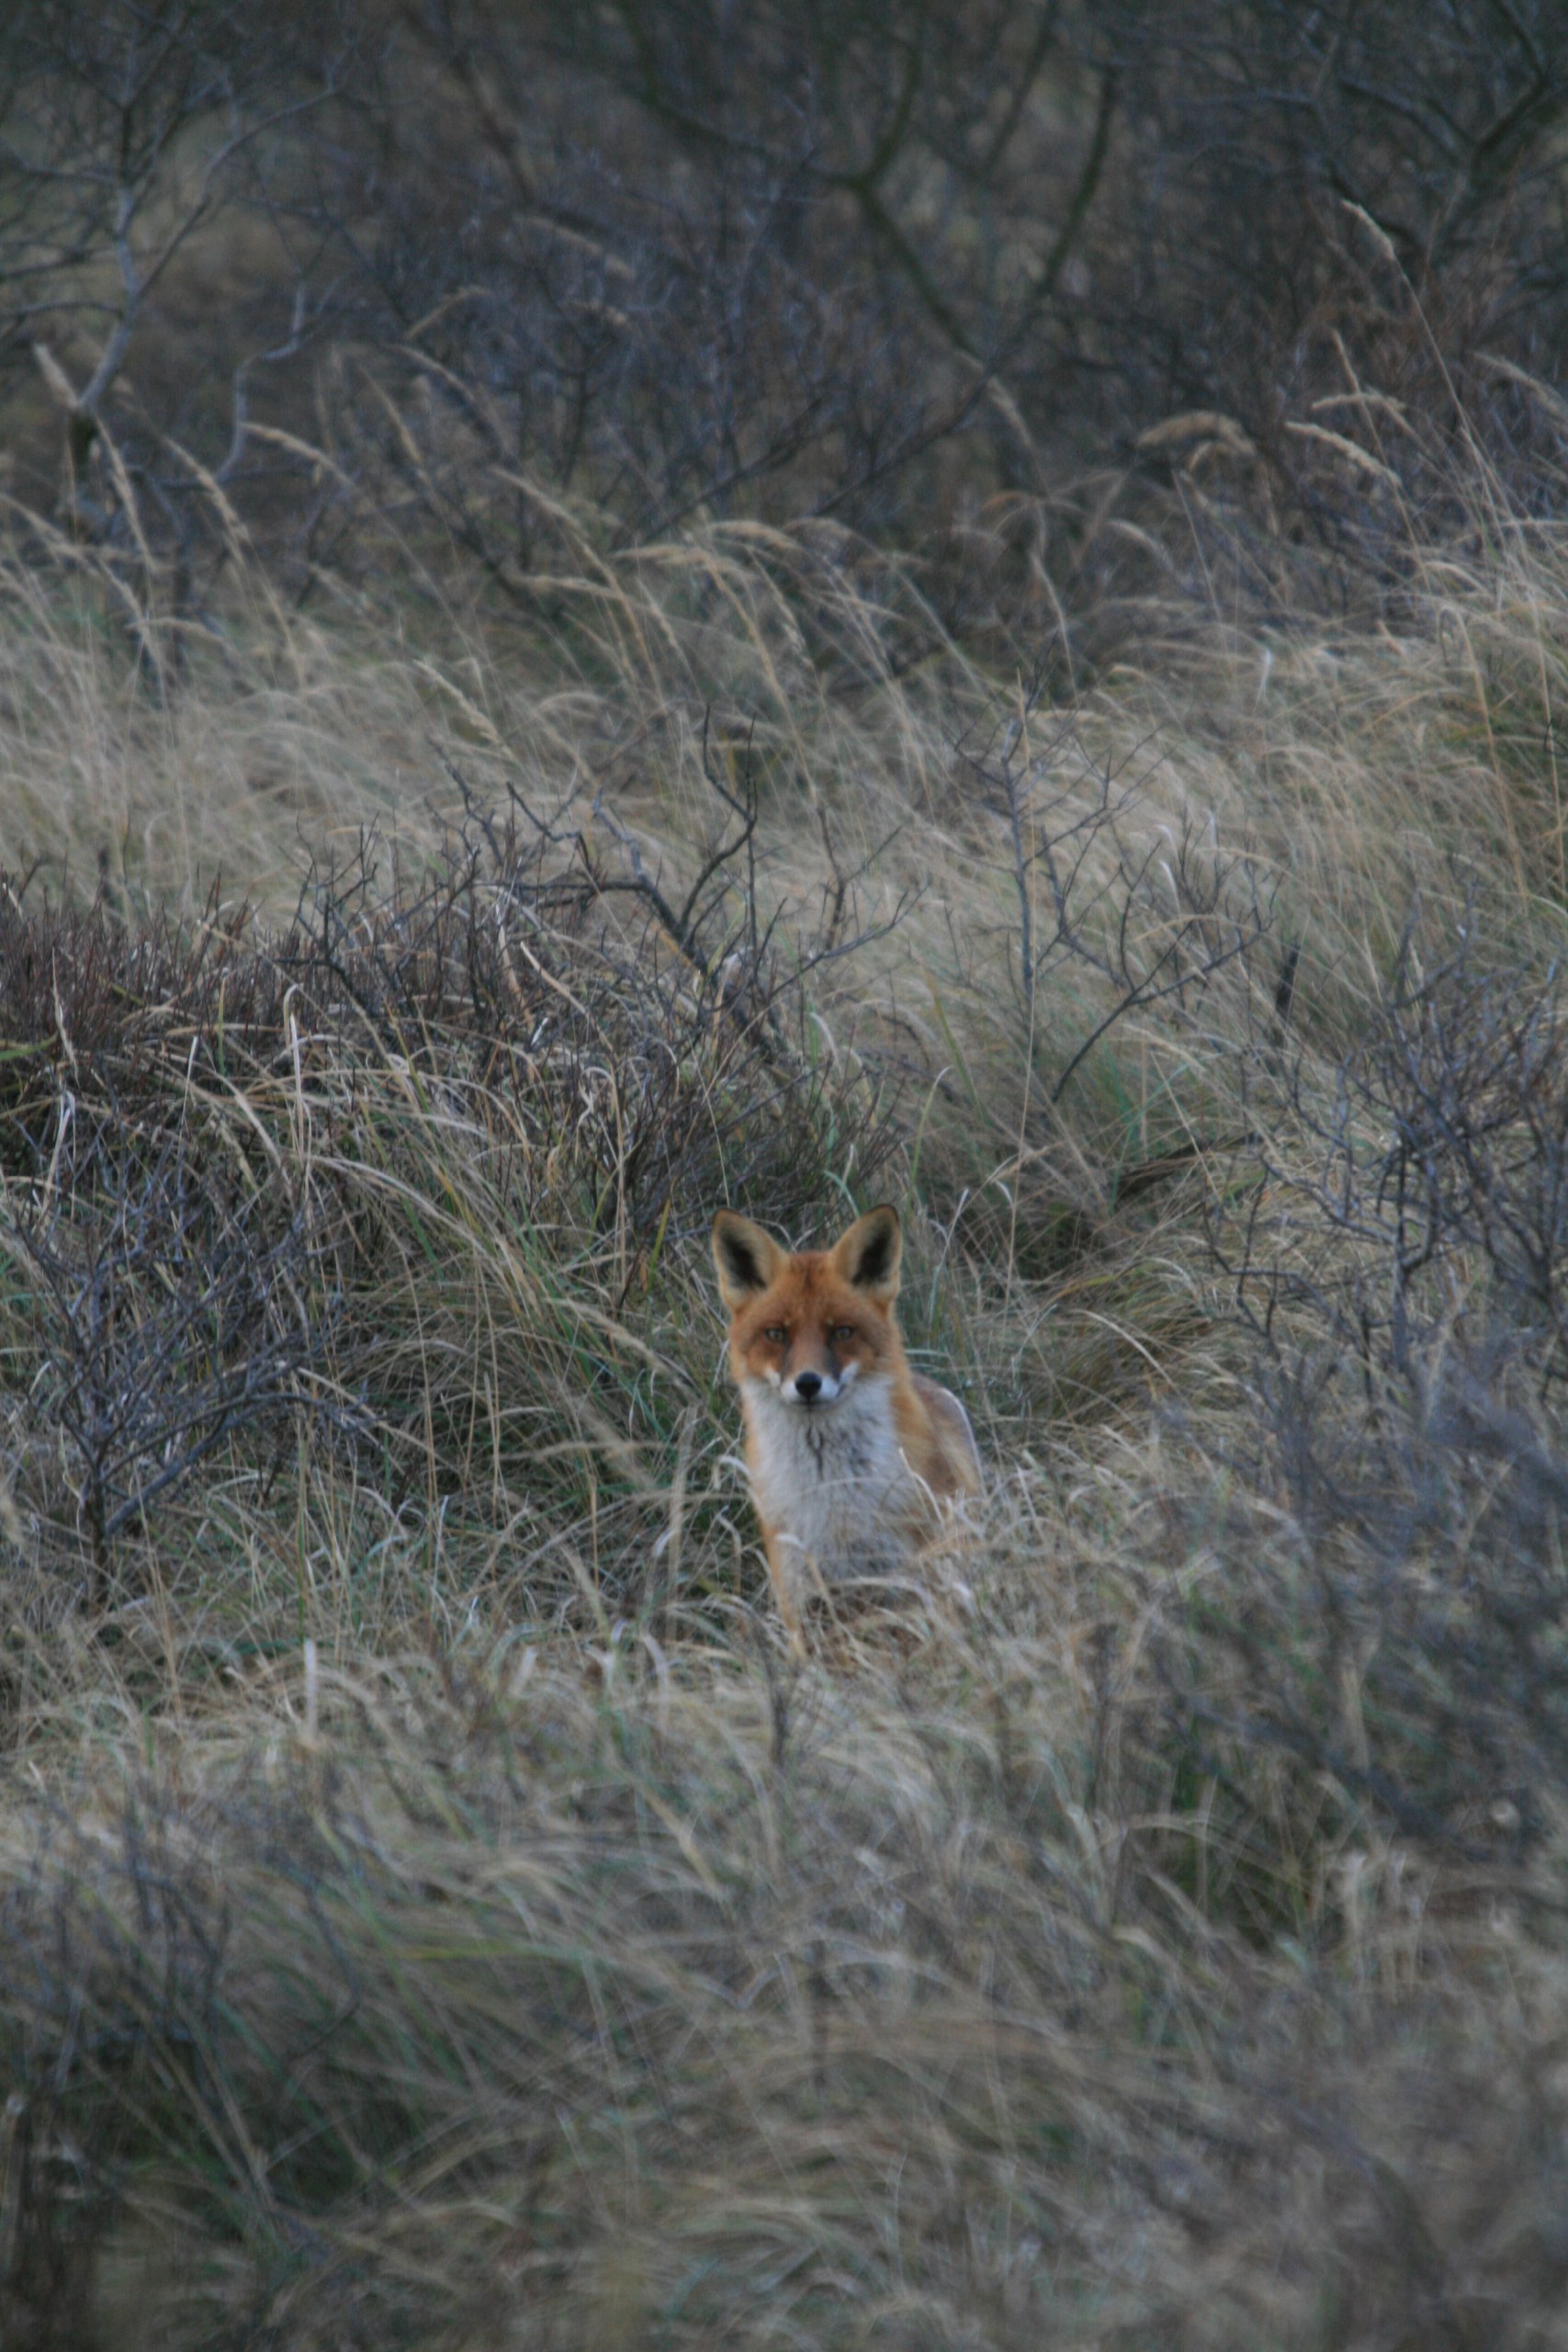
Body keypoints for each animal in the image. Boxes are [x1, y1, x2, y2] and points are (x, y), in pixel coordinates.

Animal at [711, 1202, 982, 1643]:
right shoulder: (800, 1597)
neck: (834, 1498)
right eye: (777, 1334)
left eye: (841, 1331)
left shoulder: (912, 1580)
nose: (807, 1383)